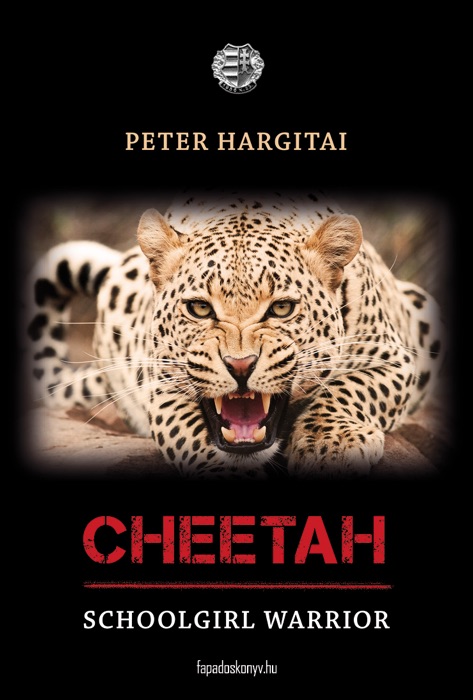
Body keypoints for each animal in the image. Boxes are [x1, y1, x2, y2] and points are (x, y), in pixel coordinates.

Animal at [24, 190, 445, 479]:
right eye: (199, 308)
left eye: (281, 308)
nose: (240, 365)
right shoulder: (163, 388)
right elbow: (193, 437)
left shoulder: (393, 359)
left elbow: (350, 389)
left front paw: (332, 445)